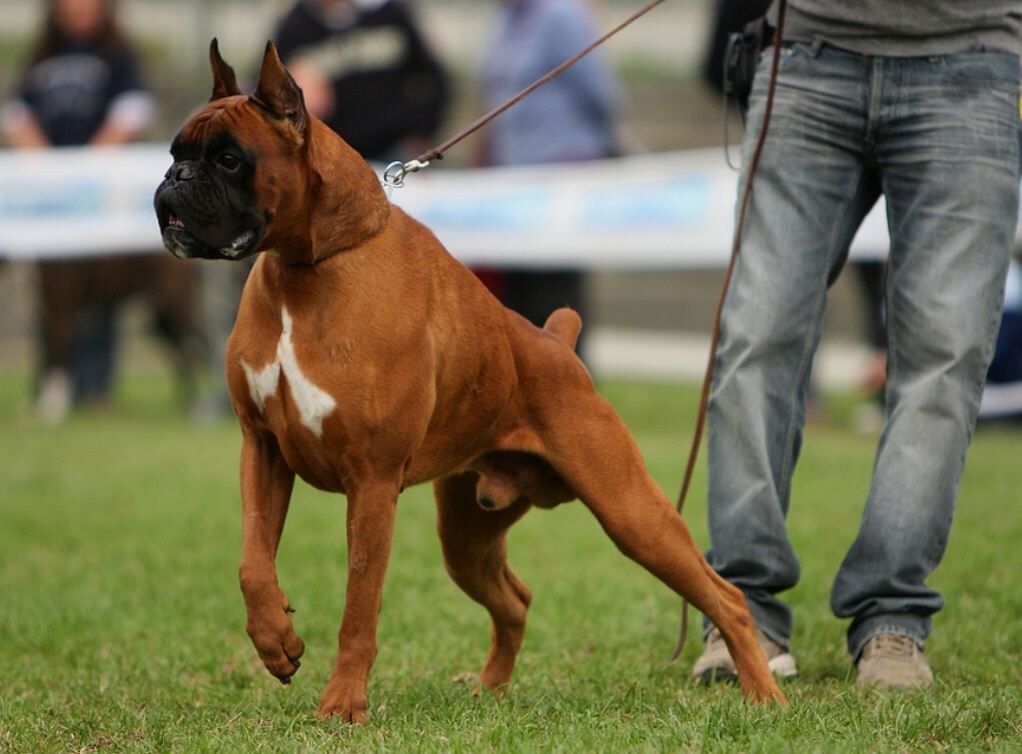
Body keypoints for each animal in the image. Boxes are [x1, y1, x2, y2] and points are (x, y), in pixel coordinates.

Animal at [155, 42, 784, 723]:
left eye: (228, 159)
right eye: (176, 152)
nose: (173, 179)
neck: (310, 266)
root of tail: (556, 344)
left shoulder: (371, 485)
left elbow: (359, 607)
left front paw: (344, 704)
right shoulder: (263, 451)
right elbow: (253, 564)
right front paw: (277, 642)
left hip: (633, 515)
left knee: (725, 597)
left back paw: (764, 694)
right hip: (466, 535)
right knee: (516, 599)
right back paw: (490, 688)